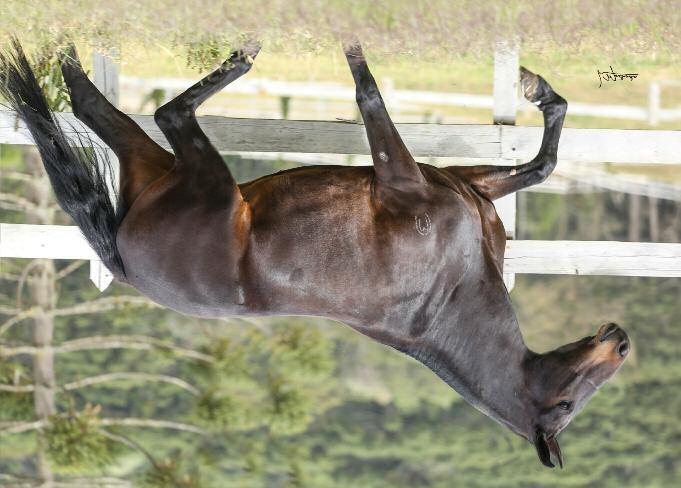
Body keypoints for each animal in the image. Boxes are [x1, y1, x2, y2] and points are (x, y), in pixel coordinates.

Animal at [0, 39, 628, 468]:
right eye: (570, 401)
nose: (621, 341)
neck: (446, 295)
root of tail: (125, 266)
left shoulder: (419, 182)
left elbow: (375, 96)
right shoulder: (440, 181)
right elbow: (540, 162)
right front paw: (536, 88)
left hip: (190, 172)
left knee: (137, 111)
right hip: (180, 171)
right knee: (122, 109)